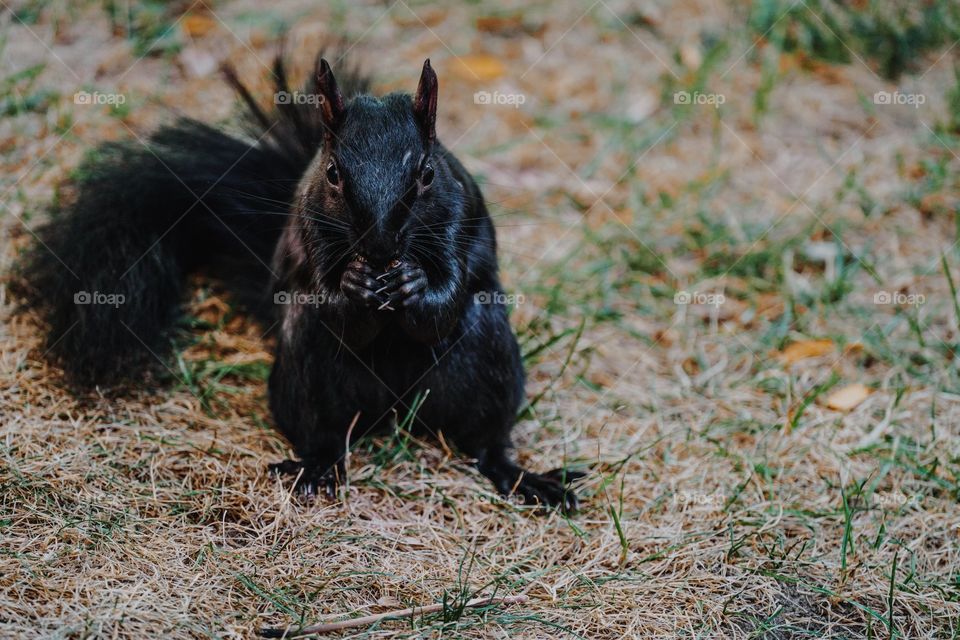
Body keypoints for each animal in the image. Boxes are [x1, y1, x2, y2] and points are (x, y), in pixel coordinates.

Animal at [20, 51, 582, 513]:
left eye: (426, 175)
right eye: (332, 173)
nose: (380, 247)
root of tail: (395, 409)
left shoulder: (458, 222)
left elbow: (445, 301)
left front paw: (414, 285)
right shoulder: (311, 237)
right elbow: (328, 302)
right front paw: (354, 286)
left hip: (486, 360)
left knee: (484, 441)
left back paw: (524, 478)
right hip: (307, 369)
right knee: (326, 435)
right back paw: (314, 469)